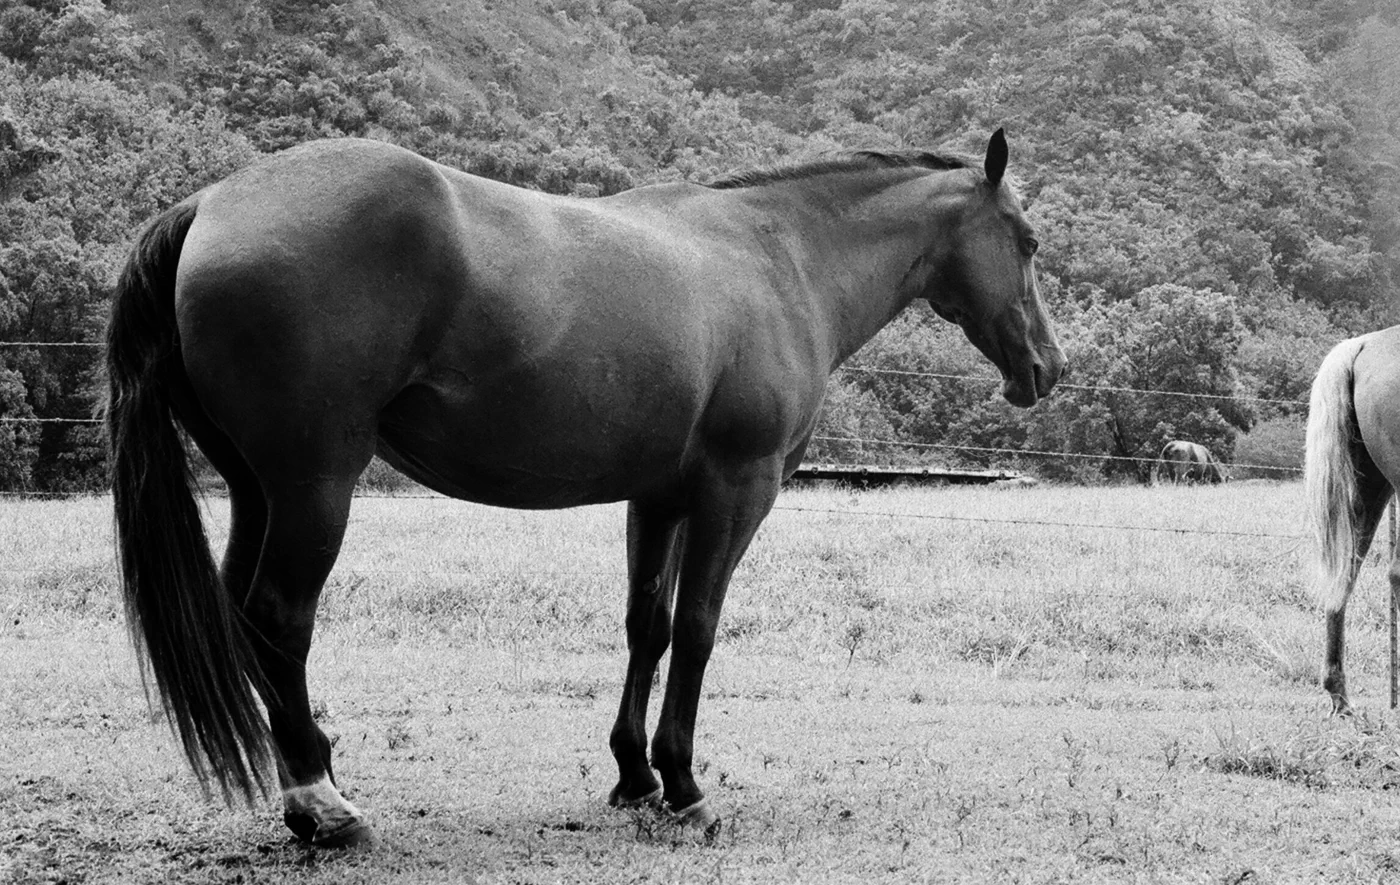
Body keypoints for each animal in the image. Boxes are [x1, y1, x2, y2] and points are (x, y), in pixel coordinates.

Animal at [105, 129, 1065, 847]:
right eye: (1027, 242)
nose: (1048, 368)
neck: (774, 256)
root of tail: (211, 204)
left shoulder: (660, 497)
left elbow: (648, 625)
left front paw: (634, 774)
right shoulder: (735, 491)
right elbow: (699, 628)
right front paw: (684, 784)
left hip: (257, 489)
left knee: (242, 612)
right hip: (314, 488)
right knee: (278, 616)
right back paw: (323, 802)